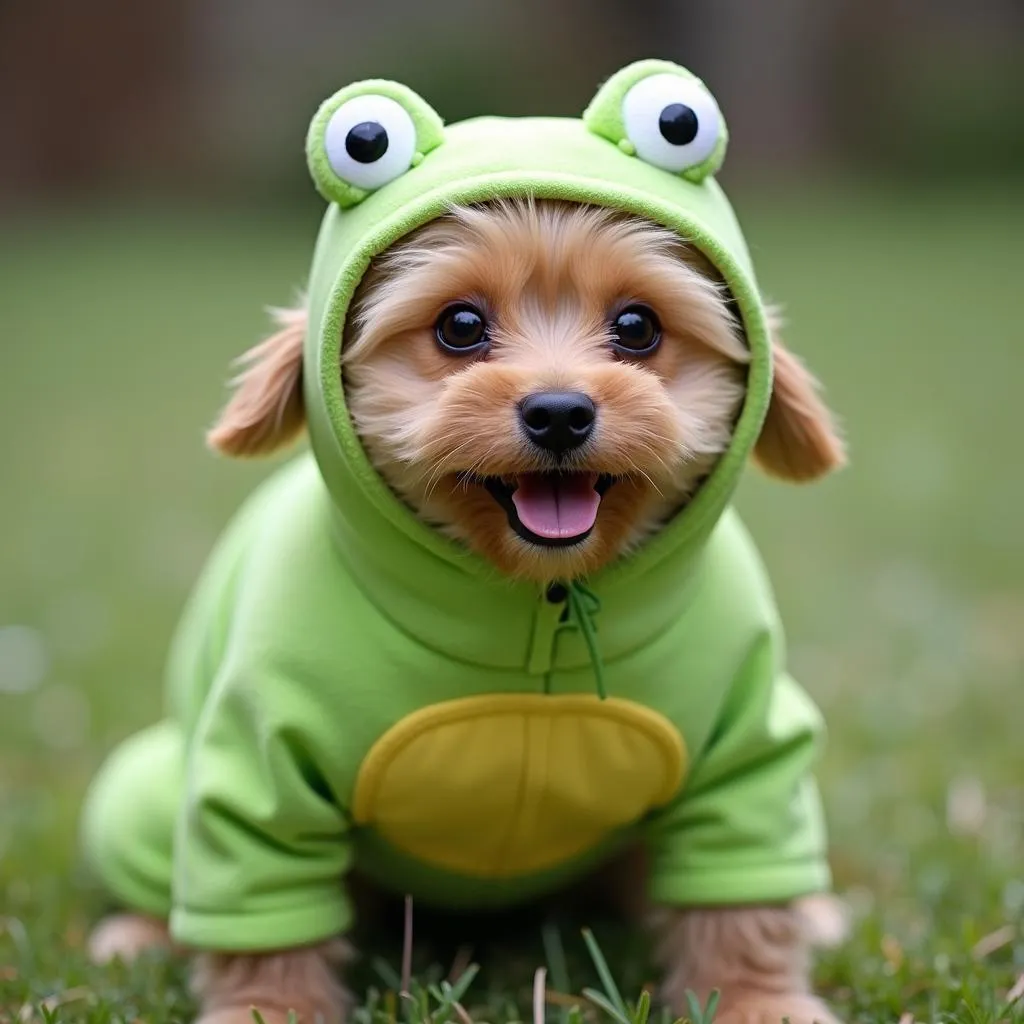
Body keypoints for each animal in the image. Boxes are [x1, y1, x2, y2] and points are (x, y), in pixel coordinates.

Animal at [81, 61, 847, 1024]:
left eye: (638, 328)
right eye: (459, 327)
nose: (558, 412)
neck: (535, 616)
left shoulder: (746, 759)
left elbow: (742, 897)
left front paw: (756, 1001)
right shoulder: (253, 779)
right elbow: (261, 911)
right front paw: (270, 1012)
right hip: (139, 793)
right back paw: (135, 936)